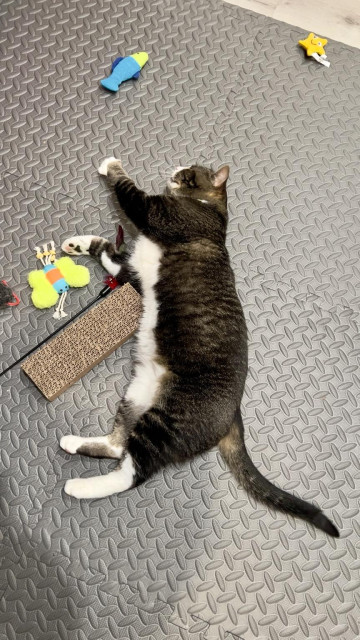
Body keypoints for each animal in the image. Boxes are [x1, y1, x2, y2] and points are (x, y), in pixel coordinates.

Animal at [58, 158, 338, 536]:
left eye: (190, 172)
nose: (175, 168)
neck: (210, 210)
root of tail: (234, 413)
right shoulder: (132, 272)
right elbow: (106, 251)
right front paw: (78, 244)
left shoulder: (154, 212)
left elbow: (128, 188)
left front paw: (111, 165)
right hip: (137, 394)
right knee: (118, 445)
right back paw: (74, 444)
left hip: (166, 422)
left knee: (133, 472)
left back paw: (79, 487)